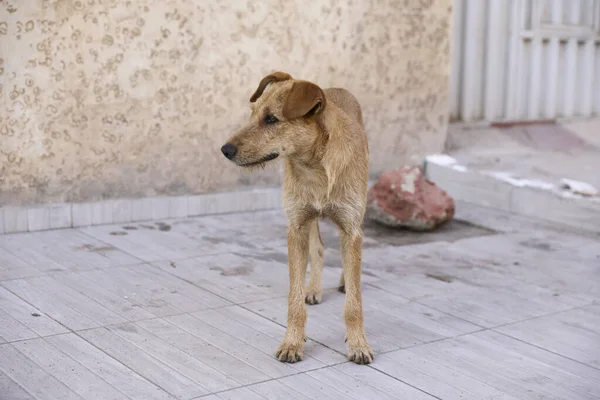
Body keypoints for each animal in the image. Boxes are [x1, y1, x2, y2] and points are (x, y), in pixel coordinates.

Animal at [218, 72, 372, 366]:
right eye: (253, 113)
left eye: (271, 119)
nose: (225, 149)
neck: (316, 167)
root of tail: (335, 88)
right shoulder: (296, 227)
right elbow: (294, 298)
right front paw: (292, 342)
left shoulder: (351, 227)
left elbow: (355, 302)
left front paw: (358, 344)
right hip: (308, 220)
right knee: (319, 248)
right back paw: (313, 288)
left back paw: (344, 281)